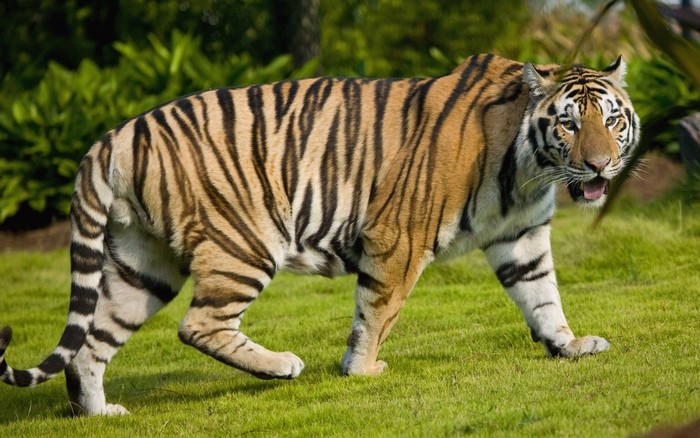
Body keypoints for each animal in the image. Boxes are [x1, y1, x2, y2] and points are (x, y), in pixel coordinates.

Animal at [0, 53, 640, 416]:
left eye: (611, 119)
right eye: (568, 124)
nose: (601, 166)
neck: (529, 170)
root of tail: (113, 135)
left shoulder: (522, 236)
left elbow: (543, 296)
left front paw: (569, 345)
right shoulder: (398, 236)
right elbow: (377, 310)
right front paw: (362, 370)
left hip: (142, 264)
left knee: (91, 344)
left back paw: (100, 413)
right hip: (244, 243)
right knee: (198, 324)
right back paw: (281, 365)